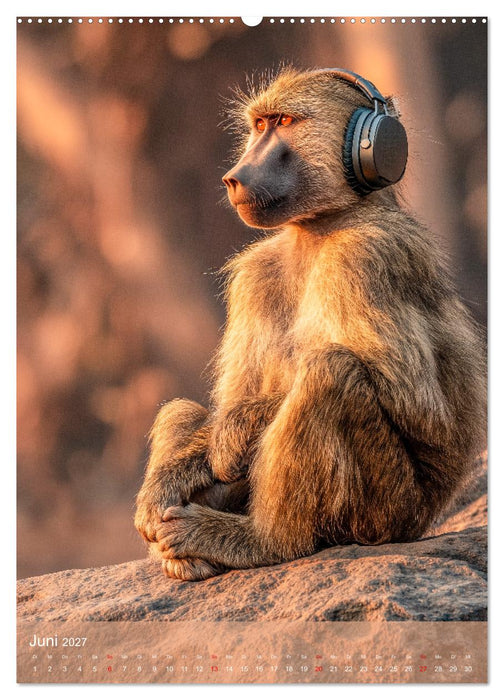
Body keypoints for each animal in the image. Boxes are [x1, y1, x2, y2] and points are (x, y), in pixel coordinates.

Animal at [134, 67, 486, 581]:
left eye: (284, 121)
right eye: (259, 126)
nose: (234, 177)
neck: (320, 226)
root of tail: (423, 519)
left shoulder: (365, 255)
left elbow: (417, 408)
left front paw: (235, 427)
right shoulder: (254, 275)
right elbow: (230, 399)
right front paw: (177, 473)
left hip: (388, 511)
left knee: (331, 373)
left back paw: (259, 540)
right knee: (178, 410)